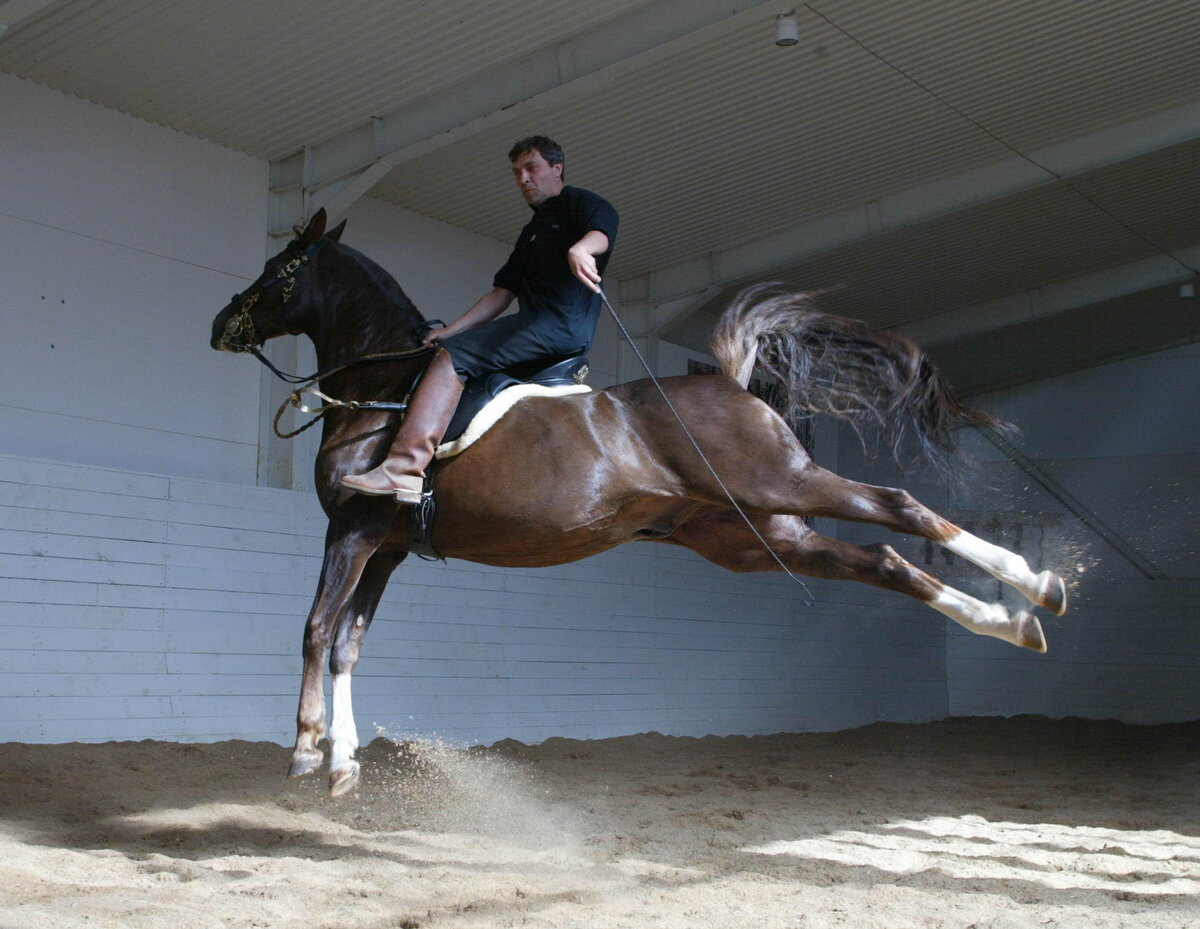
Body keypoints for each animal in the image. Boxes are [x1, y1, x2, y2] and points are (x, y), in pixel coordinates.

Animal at [208, 207, 1070, 796]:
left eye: (280, 269)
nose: (222, 322)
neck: (382, 383)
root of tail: (732, 381)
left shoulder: (353, 531)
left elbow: (316, 628)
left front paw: (305, 746)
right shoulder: (385, 549)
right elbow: (349, 644)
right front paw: (343, 763)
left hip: (781, 486)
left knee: (899, 507)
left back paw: (1038, 583)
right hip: (756, 538)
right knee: (886, 559)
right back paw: (1013, 619)